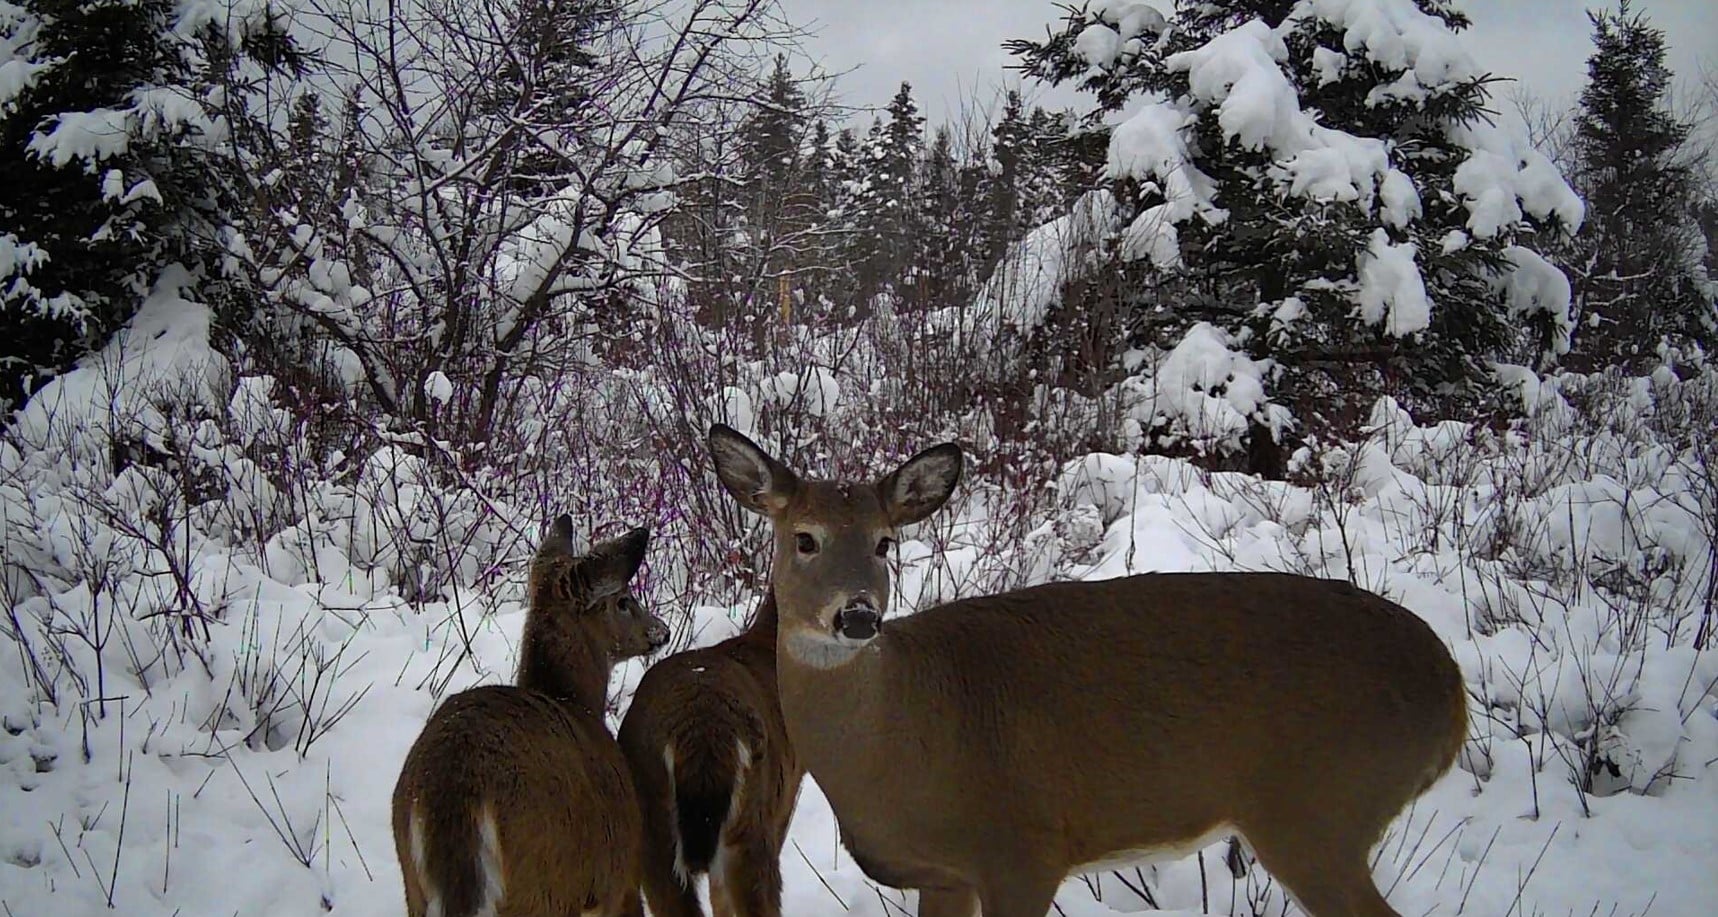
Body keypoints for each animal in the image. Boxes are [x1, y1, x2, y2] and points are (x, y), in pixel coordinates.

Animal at [393, 518, 670, 917]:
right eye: (623, 600)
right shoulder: (621, 877)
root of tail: (453, 793)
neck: (575, 702)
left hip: (413, 885)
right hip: (540, 885)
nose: (661, 630)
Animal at [704, 429, 1470, 917]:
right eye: (804, 538)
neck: (904, 737)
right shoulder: (946, 874)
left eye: (886, 543)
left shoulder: (1023, 846)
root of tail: (1452, 694)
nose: (858, 615)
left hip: (1322, 808)